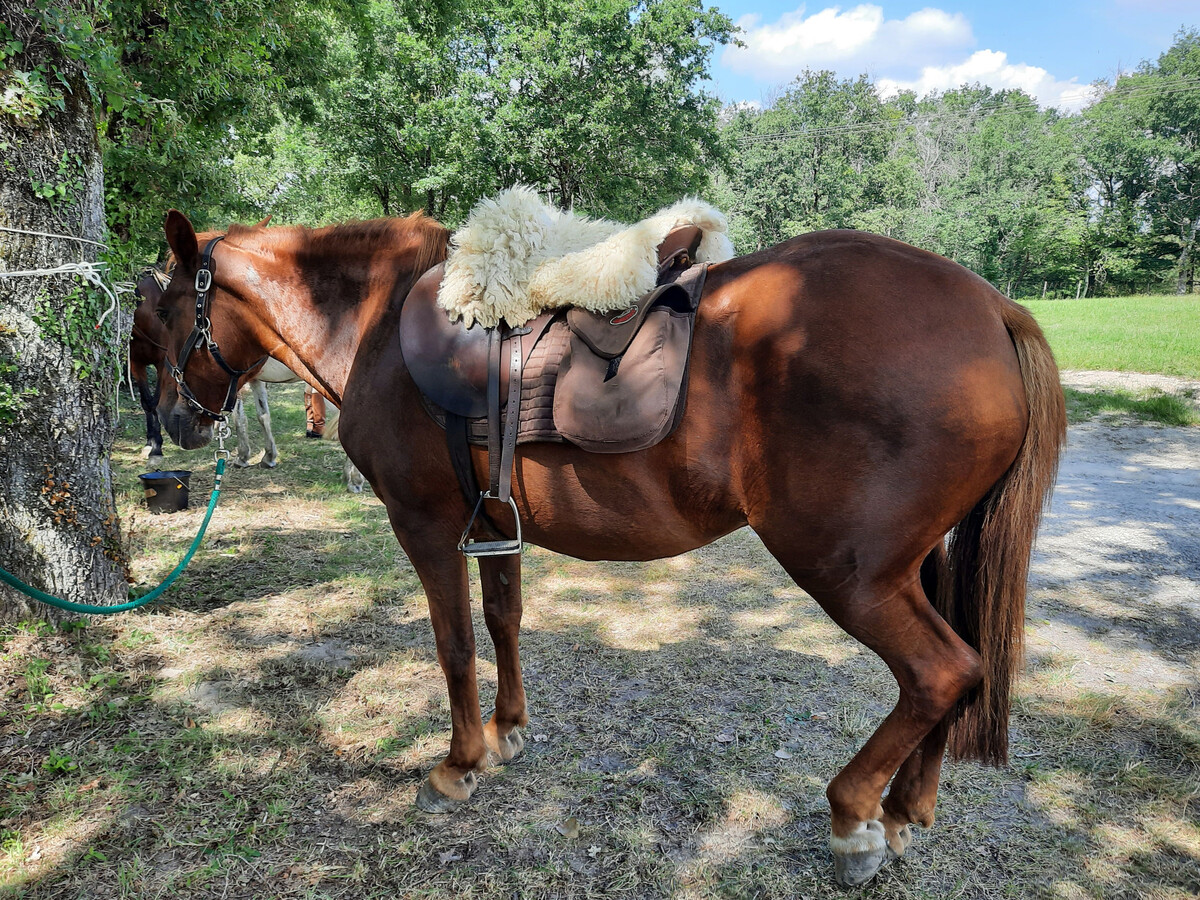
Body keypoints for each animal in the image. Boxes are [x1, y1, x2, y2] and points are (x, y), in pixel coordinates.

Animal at [131, 272, 365, 491]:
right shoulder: (254, 380)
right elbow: (263, 416)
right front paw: (268, 457)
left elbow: (239, 418)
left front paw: (242, 456)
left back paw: (354, 478)